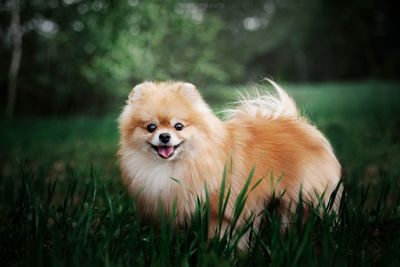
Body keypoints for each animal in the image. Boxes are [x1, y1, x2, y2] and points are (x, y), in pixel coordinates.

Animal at [119, 80, 340, 248]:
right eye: (151, 127)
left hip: (311, 194)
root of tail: (296, 123)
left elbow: (225, 237)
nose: (164, 136)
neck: (176, 165)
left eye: (178, 126)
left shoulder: (222, 210)